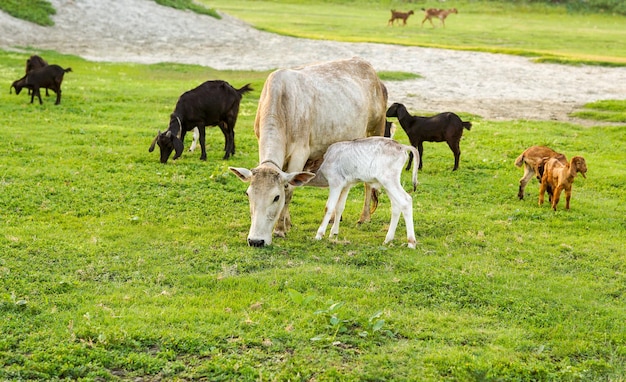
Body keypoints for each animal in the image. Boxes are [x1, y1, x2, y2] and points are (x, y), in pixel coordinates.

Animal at [229, 57, 386, 248]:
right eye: (248, 194)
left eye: (276, 197)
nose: (255, 241)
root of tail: (368, 67)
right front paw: (288, 223)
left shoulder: (300, 152)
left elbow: (289, 188)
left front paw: (280, 229)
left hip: (376, 129)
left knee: (368, 183)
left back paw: (364, 218)